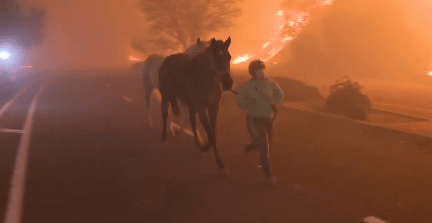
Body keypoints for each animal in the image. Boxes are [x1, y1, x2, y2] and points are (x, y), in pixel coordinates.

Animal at [158, 36, 233, 172]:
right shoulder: (202, 108)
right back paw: (164, 136)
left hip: (190, 103)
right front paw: (221, 165)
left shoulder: (213, 107)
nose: (227, 83)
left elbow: (213, 132)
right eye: (215, 57)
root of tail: (167, 59)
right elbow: (210, 134)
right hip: (166, 97)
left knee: (192, 122)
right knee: (165, 114)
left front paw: (204, 149)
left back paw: (197, 143)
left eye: (229, 57)